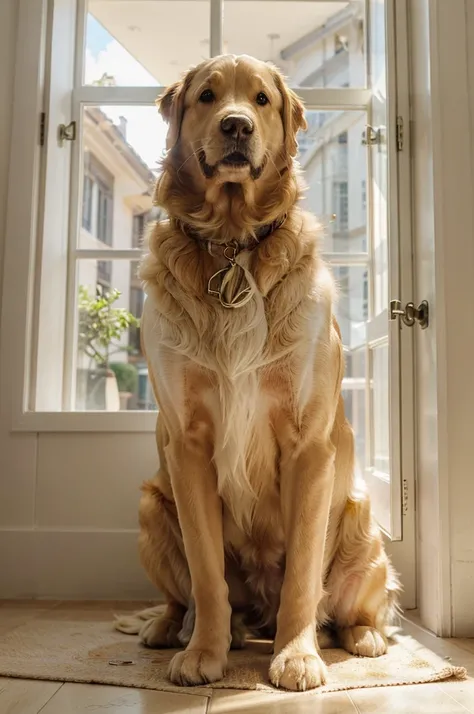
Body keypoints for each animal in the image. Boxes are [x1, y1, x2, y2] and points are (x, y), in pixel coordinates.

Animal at [115, 52, 400, 688]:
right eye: (207, 95)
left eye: (262, 100)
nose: (236, 126)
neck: (230, 243)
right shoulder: (187, 445)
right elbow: (206, 574)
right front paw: (205, 652)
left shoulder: (308, 446)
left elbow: (302, 576)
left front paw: (295, 656)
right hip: (150, 504)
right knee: (181, 596)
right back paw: (172, 628)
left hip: (362, 519)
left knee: (354, 607)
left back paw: (362, 636)